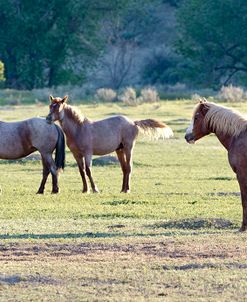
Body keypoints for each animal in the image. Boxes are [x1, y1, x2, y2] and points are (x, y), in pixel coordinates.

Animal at [46, 95, 174, 193]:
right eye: (50, 106)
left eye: (58, 107)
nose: (47, 119)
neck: (79, 129)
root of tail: (133, 123)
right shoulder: (76, 155)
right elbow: (82, 171)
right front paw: (85, 189)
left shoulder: (88, 153)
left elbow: (88, 170)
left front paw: (95, 189)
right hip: (119, 150)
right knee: (124, 168)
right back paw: (122, 189)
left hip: (128, 148)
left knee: (129, 167)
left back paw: (127, 189)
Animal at [185, 99, 247, 231]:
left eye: (196, 117)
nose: (186, 136)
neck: (237, 137)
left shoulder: (241, 175)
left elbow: (244, 200)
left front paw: (243, 227)